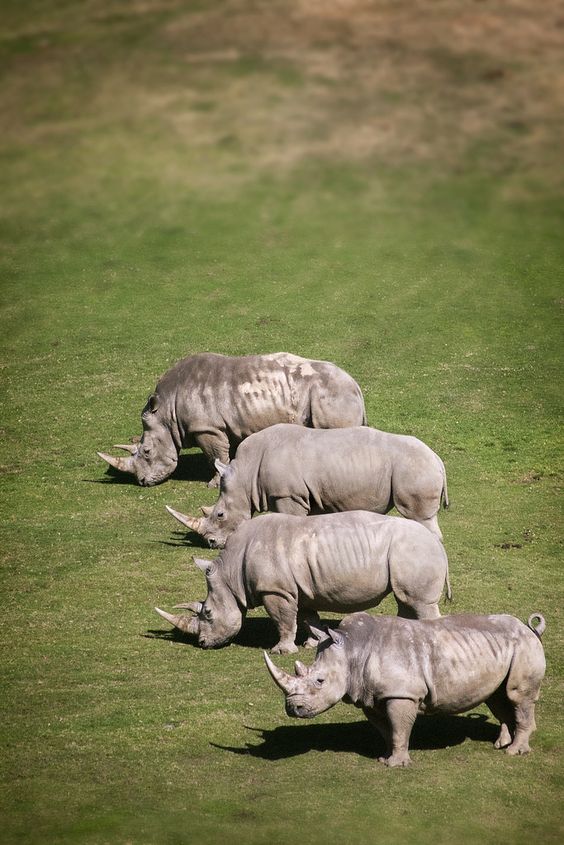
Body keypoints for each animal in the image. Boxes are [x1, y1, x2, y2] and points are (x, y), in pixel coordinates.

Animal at [98, 352, 366, 487]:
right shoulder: (227, 425)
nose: (143, 482)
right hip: (333, 393)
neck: (166, 411)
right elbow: (228, 453)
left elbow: (214, 456)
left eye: (146, 452)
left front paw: (214, 485)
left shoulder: (206, 428)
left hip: (331, 394)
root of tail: (355, 384)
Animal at [154, 510, 451, 654]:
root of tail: (438, 545)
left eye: (207, 613)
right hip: (410, 551)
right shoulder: (299, 588)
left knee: (419, 603)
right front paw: (314, 642)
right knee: (405, 601)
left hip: (413, 550)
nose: (203, 643)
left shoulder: (276, 590)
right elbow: (308, 617)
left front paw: (281, 651)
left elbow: (283, 619)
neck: (231, 574)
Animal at [167, 422, 448, 544]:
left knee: (419, 516)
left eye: (220, 515)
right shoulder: (303, 495)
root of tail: (437, 458)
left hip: (414, 468)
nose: (212, 544)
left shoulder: (288, 495)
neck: (245, 474)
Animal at [264, 610, 546, 766]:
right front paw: (385, 758)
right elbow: (387, 729)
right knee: (498, 697)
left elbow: (399, 727)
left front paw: (397, 765)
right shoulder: (372, 696)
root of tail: (530, 628)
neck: (352, 648)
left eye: (319, 681)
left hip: (524, 646)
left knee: (517, 696)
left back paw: (514, 752)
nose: (293, 709)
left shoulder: (401, 693)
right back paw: (501, 744)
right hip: (499, 649)